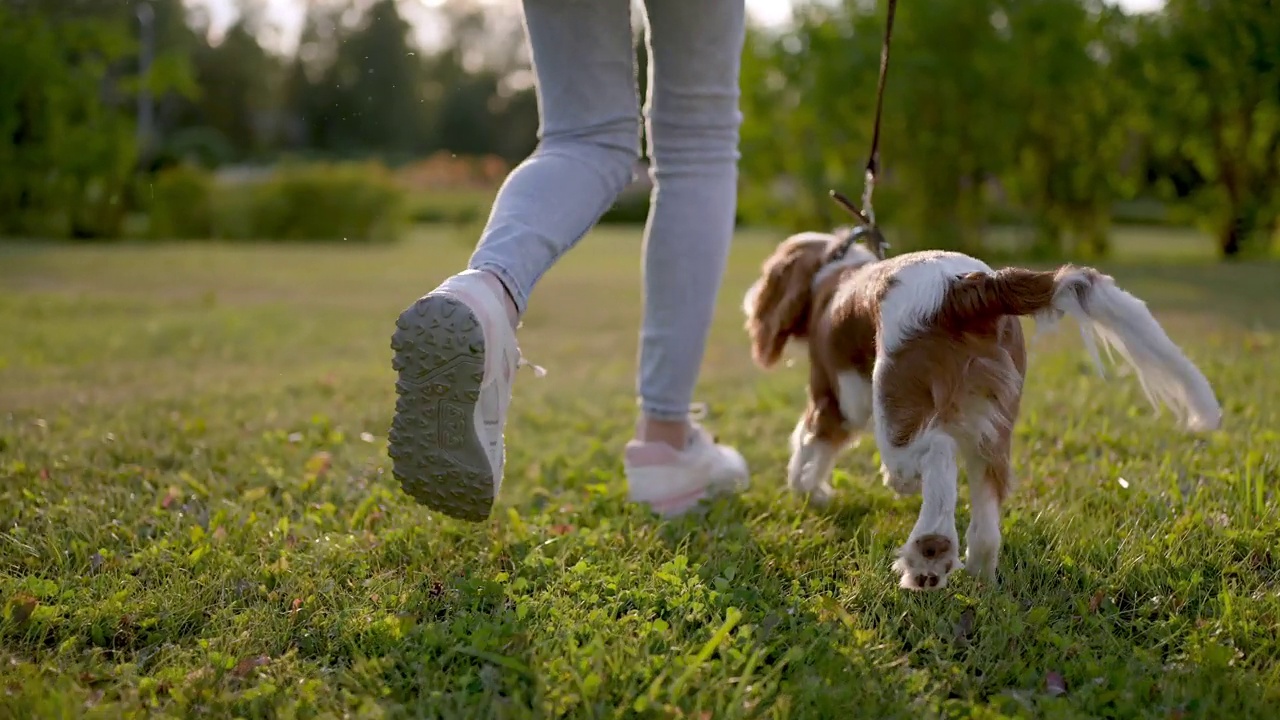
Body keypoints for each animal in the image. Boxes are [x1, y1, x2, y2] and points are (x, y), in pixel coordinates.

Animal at [747, 228, 1223, 589]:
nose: (749, 299)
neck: (834, 276)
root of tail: (966, 288)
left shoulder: (835, 399)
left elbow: (808, 441)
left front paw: (807, 490)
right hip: (994, 424)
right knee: (987, 503)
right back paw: (977, 571)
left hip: (897, 421)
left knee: (935, 458)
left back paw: (929, 556)